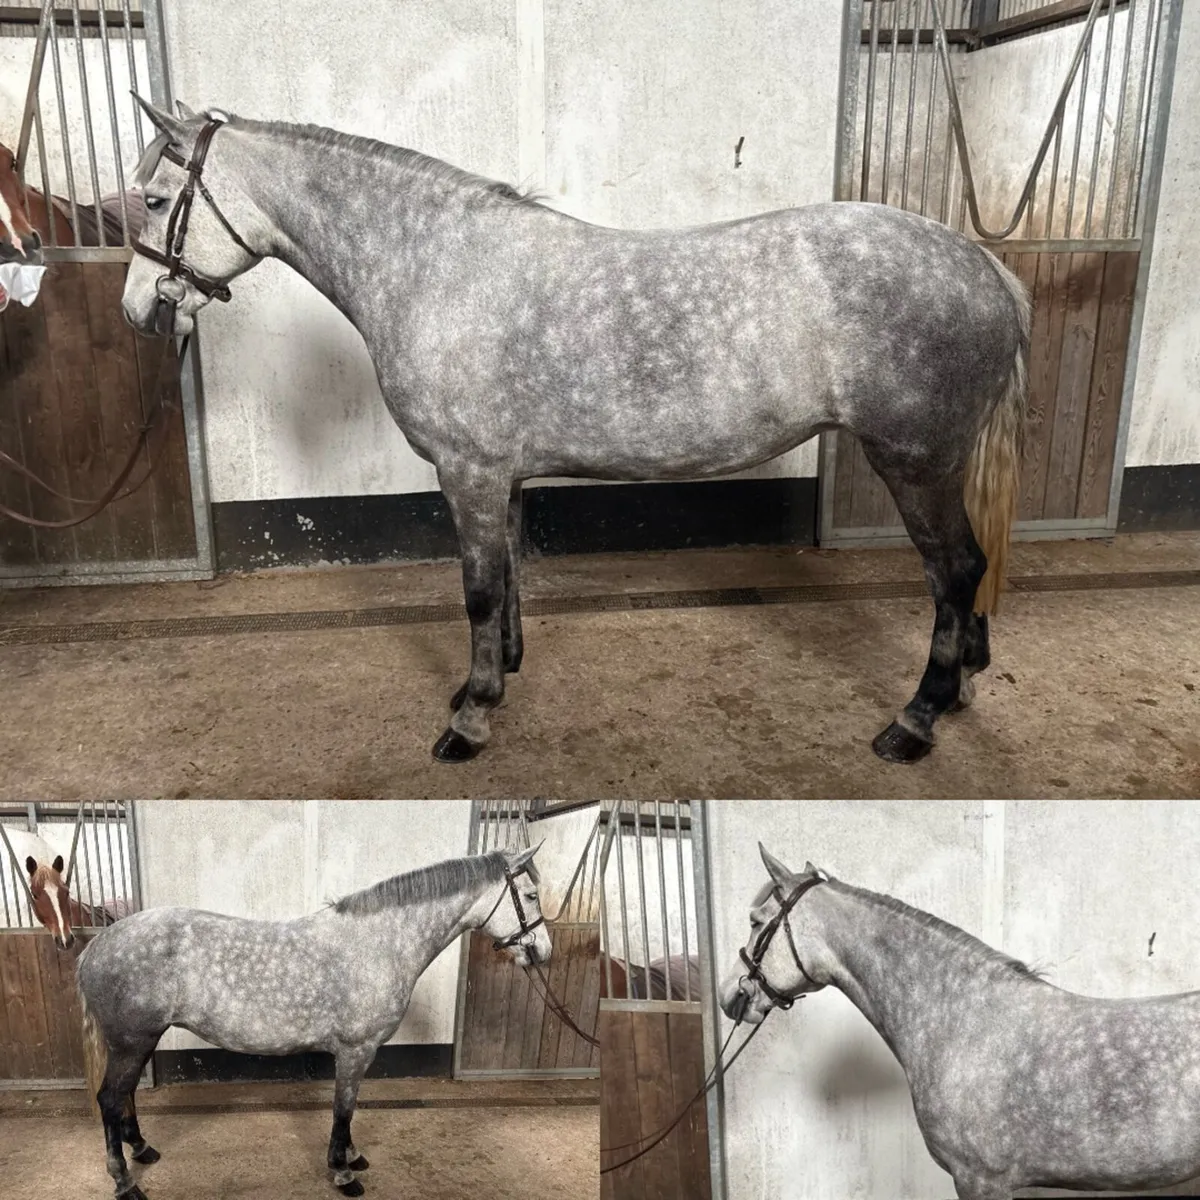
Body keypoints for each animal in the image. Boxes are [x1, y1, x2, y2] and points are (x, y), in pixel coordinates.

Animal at [77, 844, 550, 1200]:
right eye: (530, 895)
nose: (543, 951)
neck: (379, 943)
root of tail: (97, 944)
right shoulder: (356, 1050)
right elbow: (343, 1109)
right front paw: (343, 1173)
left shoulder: (359, 1053)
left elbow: (350, 1109)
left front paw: (353, 1156)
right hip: (132, 1041)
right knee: (110, 1099)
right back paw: (124, 1182)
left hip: (139, 1041)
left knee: (126, 1096)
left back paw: (142, 1149)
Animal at [121, 99, 1030, 768]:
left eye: (157, 201)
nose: (139, 311)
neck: (435, 268)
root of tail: (985, 267)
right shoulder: (501, 477)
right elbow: (509, 580)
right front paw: (490, 681)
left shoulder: (469, 472)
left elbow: (479, 589)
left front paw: (470, 721)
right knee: (969, 571)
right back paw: (962, 688)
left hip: (916, 464)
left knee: (956, 571)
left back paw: (916, 720)